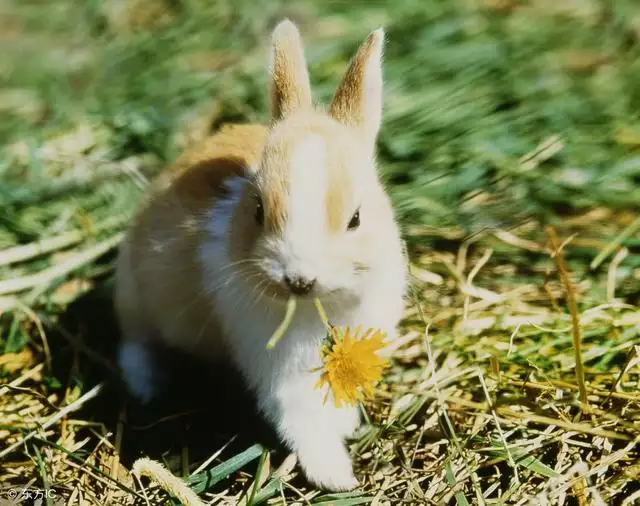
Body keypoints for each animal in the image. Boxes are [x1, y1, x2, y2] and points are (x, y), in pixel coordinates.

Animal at [114, 18, 404, 490]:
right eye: (257, 210)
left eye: (356, 218)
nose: (299, 278)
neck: (317, 305)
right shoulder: (279, 368)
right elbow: (300, 417)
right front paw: (337, 477)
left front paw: (345, 426)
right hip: (134, 296)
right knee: (135, 343)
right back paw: (148, 388)